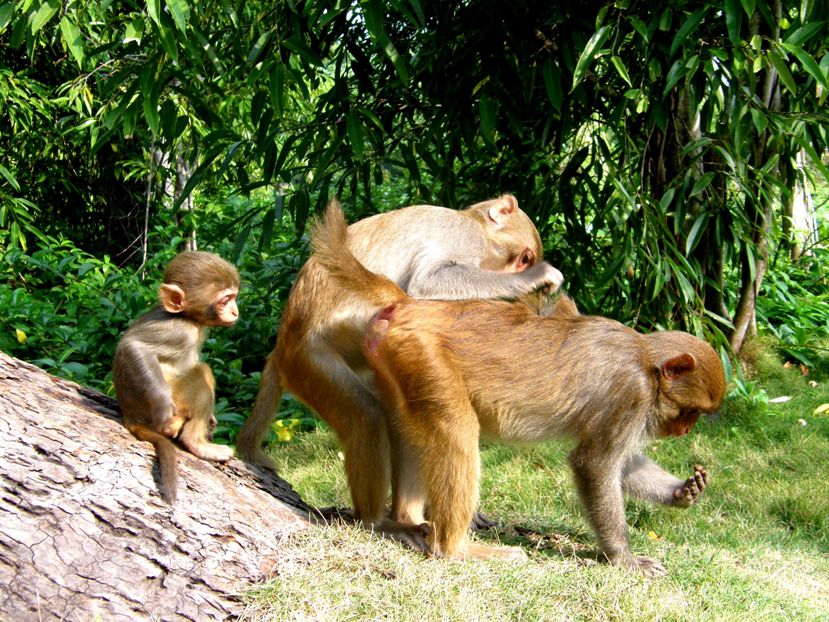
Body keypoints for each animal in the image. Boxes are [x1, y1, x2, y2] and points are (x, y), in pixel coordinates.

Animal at [111, 251, 239, 504]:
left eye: (233, 297)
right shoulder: (180, 332)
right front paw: (163, 406)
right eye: (224, 300)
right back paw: (195, 442)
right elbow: (134, 347)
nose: (235, 311)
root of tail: (131, 416)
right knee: (202, 373)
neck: (188, 318)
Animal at [238, 195, 564, 540]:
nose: (527, 275)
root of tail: (282, 345)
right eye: (525, 260)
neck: (476, 225)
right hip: (311, 362)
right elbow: (426, 283)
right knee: (366, 416)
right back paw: (378, 521)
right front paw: (532, 280)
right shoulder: (465, 238)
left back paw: (409, 516)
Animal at [310, 202, 724, 576]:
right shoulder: (631, 395)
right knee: (458, 432)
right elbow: (596, 464)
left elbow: (624, 464)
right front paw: (624, 557)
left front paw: (682, 491)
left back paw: (405, 522)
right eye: (691, 412)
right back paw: (455, 548)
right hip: (423, 355)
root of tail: (406, 308)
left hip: (396, 362)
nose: (684, 429)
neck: (645, 360)